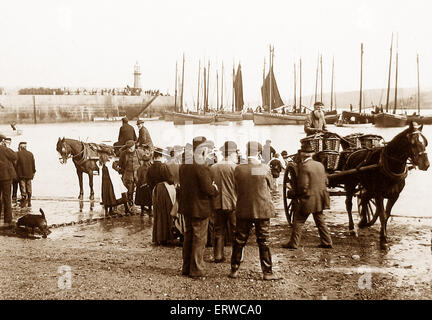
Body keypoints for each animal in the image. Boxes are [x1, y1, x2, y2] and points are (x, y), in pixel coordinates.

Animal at [340, 121, 428, 249]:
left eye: (426, 142)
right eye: (413, 143)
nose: (426, 164)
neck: (390, 165)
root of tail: (352, 152)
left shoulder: (394, 195)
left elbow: (386, 215)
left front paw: (384, 236)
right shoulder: (378, 194)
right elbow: (382, 215)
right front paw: (383, 240)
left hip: (368, 187)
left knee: (364, 198)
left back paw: (363, 221)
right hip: (350, 184)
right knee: (349, 204)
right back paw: (351, 228)